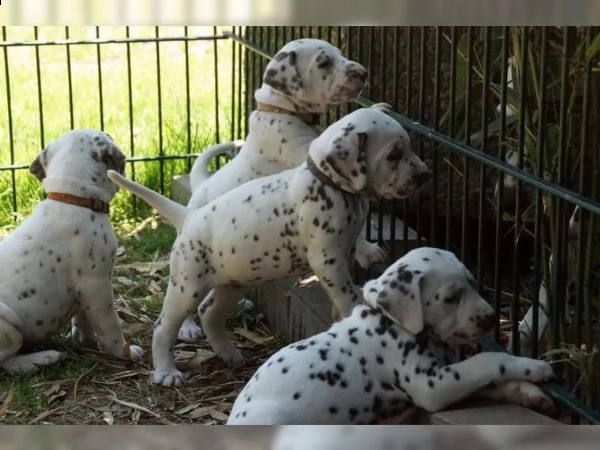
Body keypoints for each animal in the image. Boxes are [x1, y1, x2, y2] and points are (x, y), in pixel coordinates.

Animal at [0, 129, 144, 372]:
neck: (73, 198)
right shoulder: (96, 285)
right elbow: (111, 324)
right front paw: (123, 353)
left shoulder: (82, 288)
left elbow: (82, 316)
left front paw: (83, 338)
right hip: (7, 324)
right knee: (7, 363)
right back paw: (45, 358)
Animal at [106, 106, 432, 386]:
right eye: (394, 155)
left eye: (408, 146)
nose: (424, 175)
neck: (326, 184)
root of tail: (188, 216)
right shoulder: (328, 260)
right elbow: (347, 294)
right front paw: (356, 313)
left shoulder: (345, 247)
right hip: (187, 285)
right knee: (164, 327)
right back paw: (167, 372)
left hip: (232, 282)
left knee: (210, 312)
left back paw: (229, 355)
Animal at [226, 248, 556, 424]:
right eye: (451, 297)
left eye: (473, 283)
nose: (490, 318)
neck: (391, 321)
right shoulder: (432, 384)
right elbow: (485, 361)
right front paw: (533, 367)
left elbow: (487, 382)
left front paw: (529, 393)